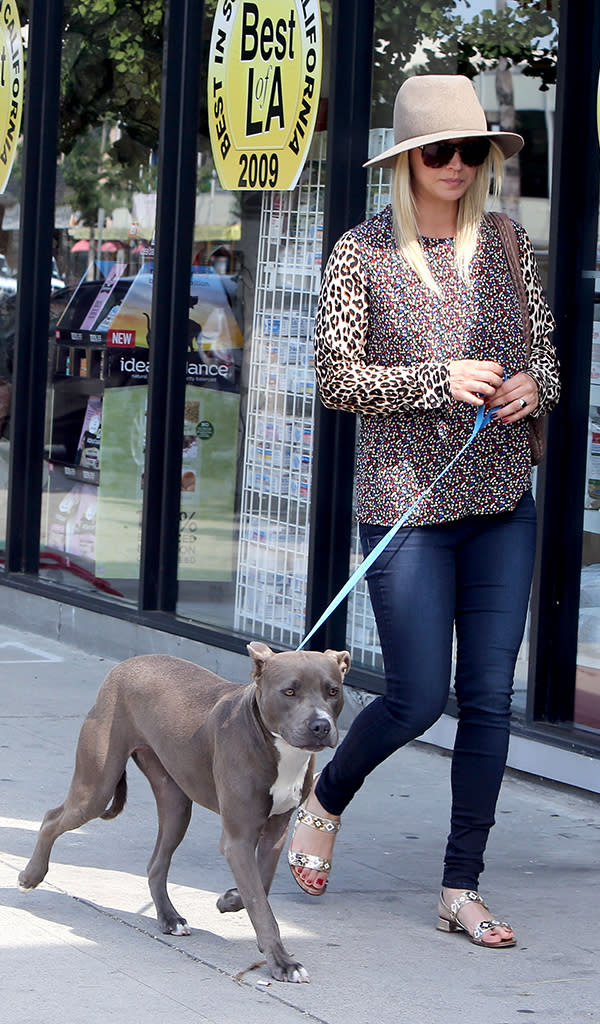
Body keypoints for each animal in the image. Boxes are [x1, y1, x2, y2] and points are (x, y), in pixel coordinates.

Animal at [19, 638, 346, 983]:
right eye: (289, 691)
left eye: (333, 691)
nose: (321, 725)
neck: (275, 746)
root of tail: (124, 667)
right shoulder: (238, 839)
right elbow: (260, 902)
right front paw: (282, 962)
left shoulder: (274, 833)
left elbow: (262, 884)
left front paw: (231, 899)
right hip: (96, 788)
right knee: (51, 818)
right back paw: (30, 876)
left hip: (175, 804)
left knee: (156, 863)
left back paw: (169, 917)